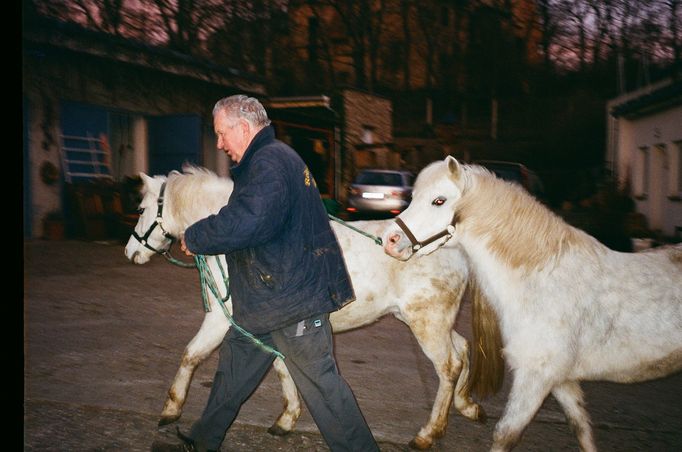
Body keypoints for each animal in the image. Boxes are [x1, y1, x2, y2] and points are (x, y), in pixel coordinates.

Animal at [123, 165, 484, 448]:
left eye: (140, 209)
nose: (130, 252)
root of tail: (454, 247)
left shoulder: (221, 321)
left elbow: (191, 355)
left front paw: (171, 411)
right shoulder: (272, 326)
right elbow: (283, 369)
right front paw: (286, 419)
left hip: (427, 323)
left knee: (448, 366)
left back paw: (428, 433)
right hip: (433, 322)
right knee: (464, 349)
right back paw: (467, 405)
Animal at [382, 156, 680, 452]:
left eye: (439, 200)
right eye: (413, 196)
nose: (390, 240)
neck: (544, 278)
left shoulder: (535, 378)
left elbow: (505, 434)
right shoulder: (561, 381)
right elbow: (581, 429)